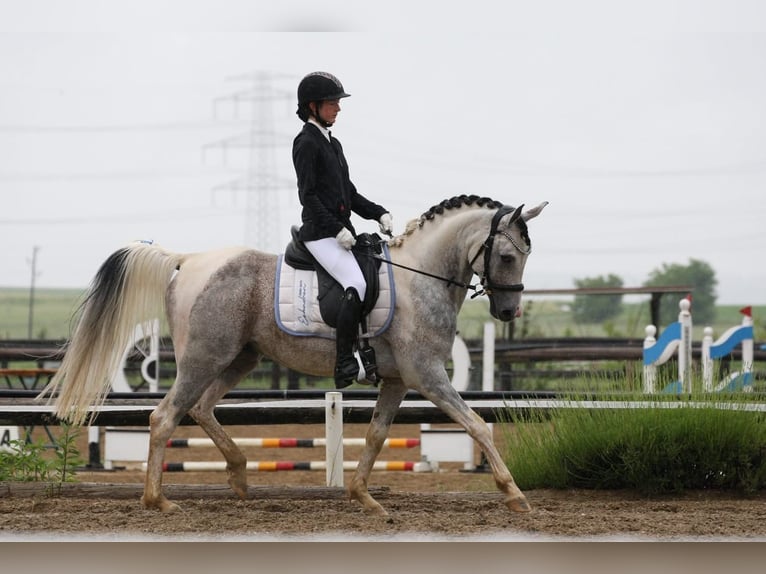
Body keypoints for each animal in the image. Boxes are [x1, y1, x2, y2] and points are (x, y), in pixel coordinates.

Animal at [39, 194, 547, 516]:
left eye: (526, 255)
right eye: (506, 256)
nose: (508, 311)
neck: (420, 276)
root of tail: (190, 260)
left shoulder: (399, 380)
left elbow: (377, 435)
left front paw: (364, 497)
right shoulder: (427, 376)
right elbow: (477, 424)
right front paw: (514, 494)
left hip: (239, 358)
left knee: (201, 409)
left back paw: (240, 476)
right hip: (205, 358)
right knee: (165, 417)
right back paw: (157, 500)